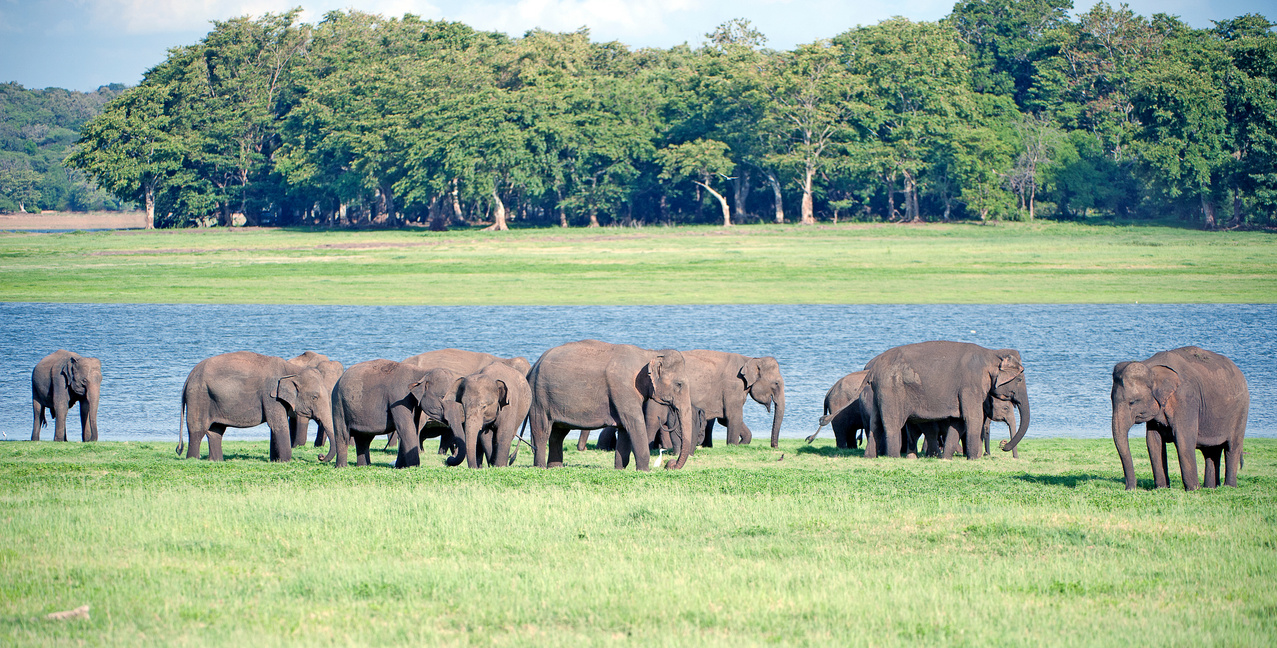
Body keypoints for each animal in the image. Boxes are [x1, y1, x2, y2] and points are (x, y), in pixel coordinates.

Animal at [177, 352, 334, 465]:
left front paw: (275, 461)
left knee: (216, 431)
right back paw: (193, 459)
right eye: (314, 397)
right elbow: (278, 425)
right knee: (197, 429)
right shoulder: (270, 396)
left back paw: (216, 461)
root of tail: (189, 377)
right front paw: (285, 461)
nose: (320, 456)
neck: (292, 369)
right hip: (199, 397)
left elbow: (275, 427)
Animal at [329, 362, 469, 470]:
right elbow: (406, 428)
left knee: (364, 439)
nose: (449, 459)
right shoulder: (399, 398)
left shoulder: (414, 403)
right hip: (338, 404)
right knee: (343, 435)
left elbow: (413, 427)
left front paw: (400, 467)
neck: (422, 373)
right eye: (442, 397)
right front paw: (414, 467)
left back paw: (364, 466)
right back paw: (341, 467)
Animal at [523, 339, 694, 472]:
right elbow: (635, 423)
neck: (649, 354)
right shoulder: (623, 388)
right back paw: (540, 467)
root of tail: (534, 365)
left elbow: (625, 428)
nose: (670, 465)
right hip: (539, 397)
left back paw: (555, 467)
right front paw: (644, 471)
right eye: (679, 384)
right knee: (542, 431)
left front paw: (620, 469)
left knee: (558, 434)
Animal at [853, 342, 1031, 460]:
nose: (1003, 445)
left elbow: (958, 422)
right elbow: (972, 418)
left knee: (875, 424)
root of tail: (872, 370)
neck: (992, 353)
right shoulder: (971, 385)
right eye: (1020, 379)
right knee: (892, 424)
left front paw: (947, 459)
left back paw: (870, 457)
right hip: (892, 389)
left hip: (879, 393)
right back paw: (894, 457)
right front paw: (974, 459)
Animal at [1113, 347, 1251, 488]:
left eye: (1132, 402)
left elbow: (1184, 439)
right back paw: (1211, 488)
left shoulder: (1186, 399)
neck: (1150, 366)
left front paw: (1194, 489)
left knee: (1232, 447)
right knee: (1211, 451)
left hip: (1241, 411)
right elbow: (1153, 442)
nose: (1130, 489)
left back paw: (1228, 487)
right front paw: (1161, 489)